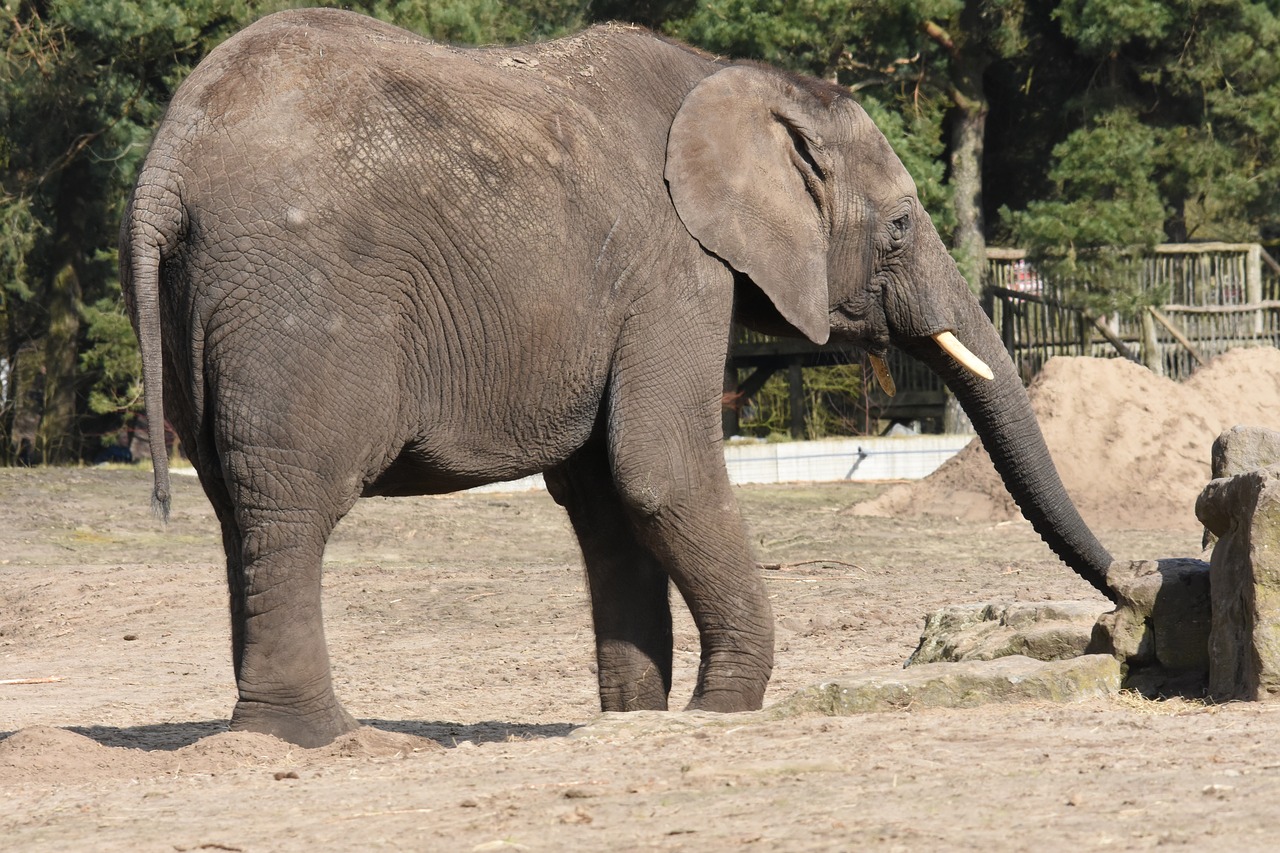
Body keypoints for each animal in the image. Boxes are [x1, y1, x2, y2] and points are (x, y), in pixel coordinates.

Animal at [124, 11, 1116, 742]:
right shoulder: (674, 268)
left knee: (236, 504)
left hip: (199, 304)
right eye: (903, 225)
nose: (1128, 581)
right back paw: (318, 738)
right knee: (293, 499)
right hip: (296, 295)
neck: (730, 78)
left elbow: (606, 496)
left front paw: (634, 720)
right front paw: (719, 714)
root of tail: (166, 164)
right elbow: (660, 471)